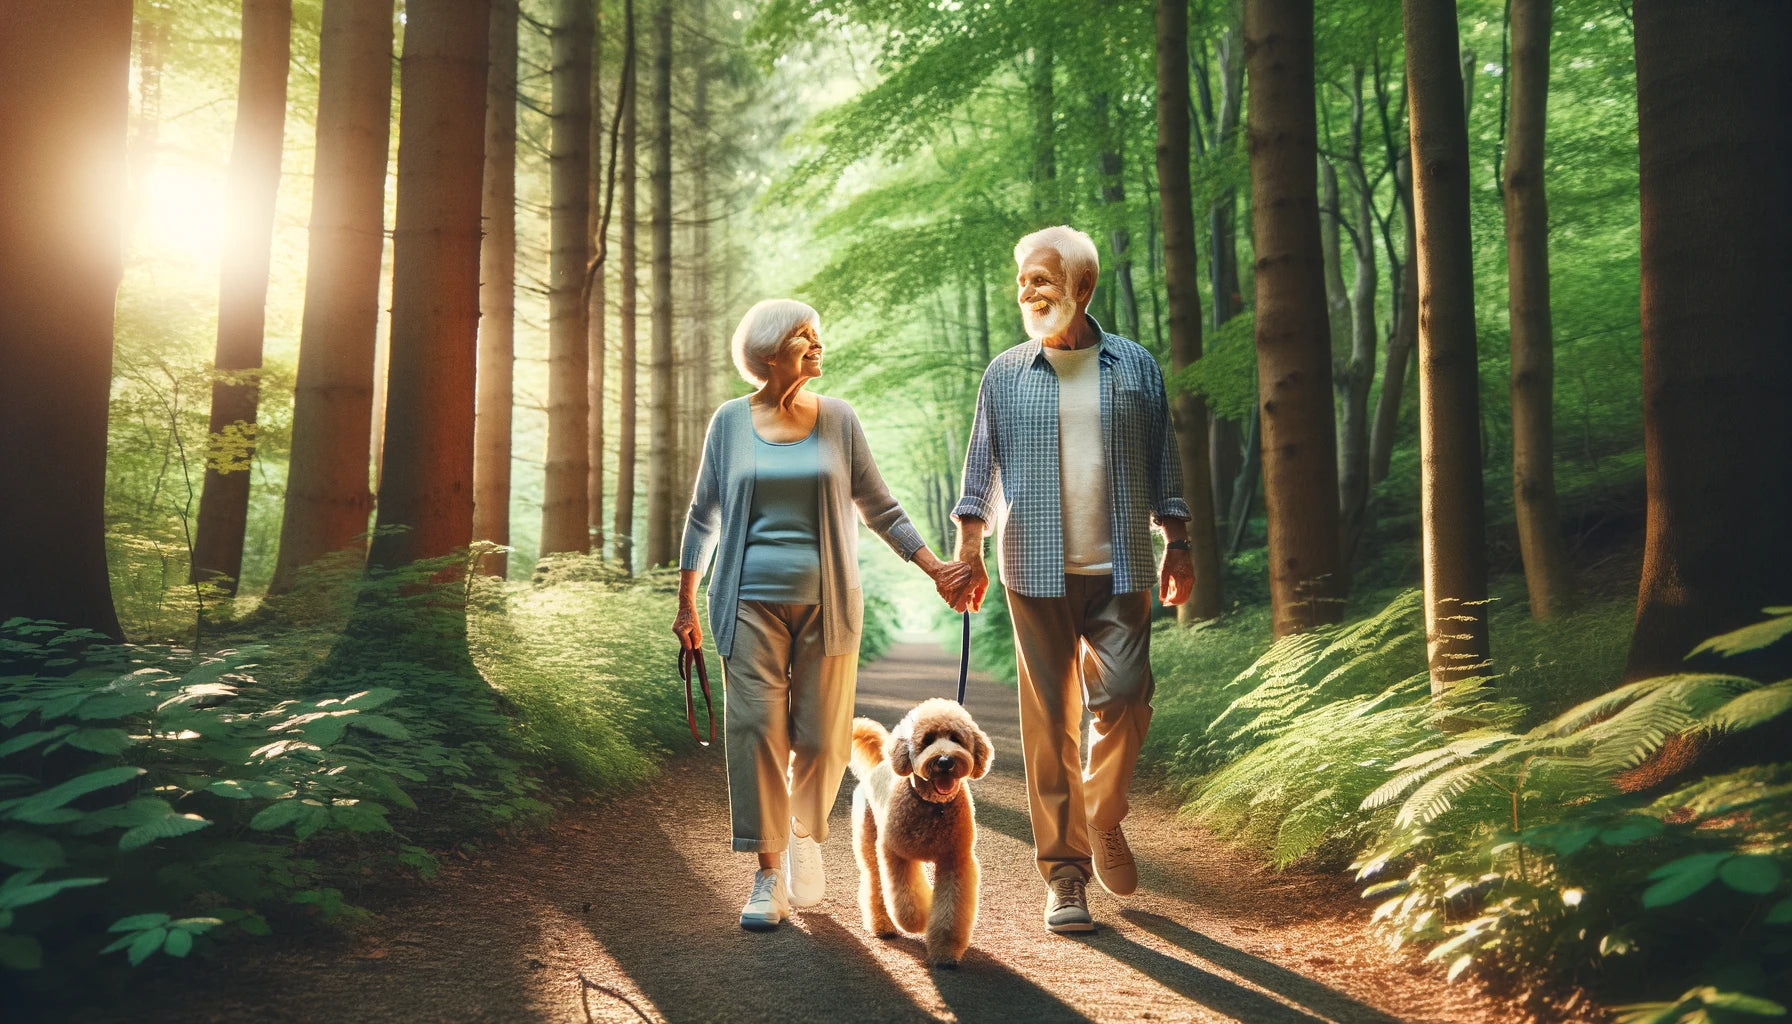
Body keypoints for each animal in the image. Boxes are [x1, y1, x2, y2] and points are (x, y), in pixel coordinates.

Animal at [842, 695, 996, 968]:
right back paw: (882, 925)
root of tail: (879, 764)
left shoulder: (956, 860)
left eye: (956, 738)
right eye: (927, 740)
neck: (934, 806)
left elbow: (951, 910)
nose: (945, 761)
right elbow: (906, 901)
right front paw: (920, 918)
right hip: (869, 843)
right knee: (874, 884)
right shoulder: (895, 854)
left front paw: (945, 952)